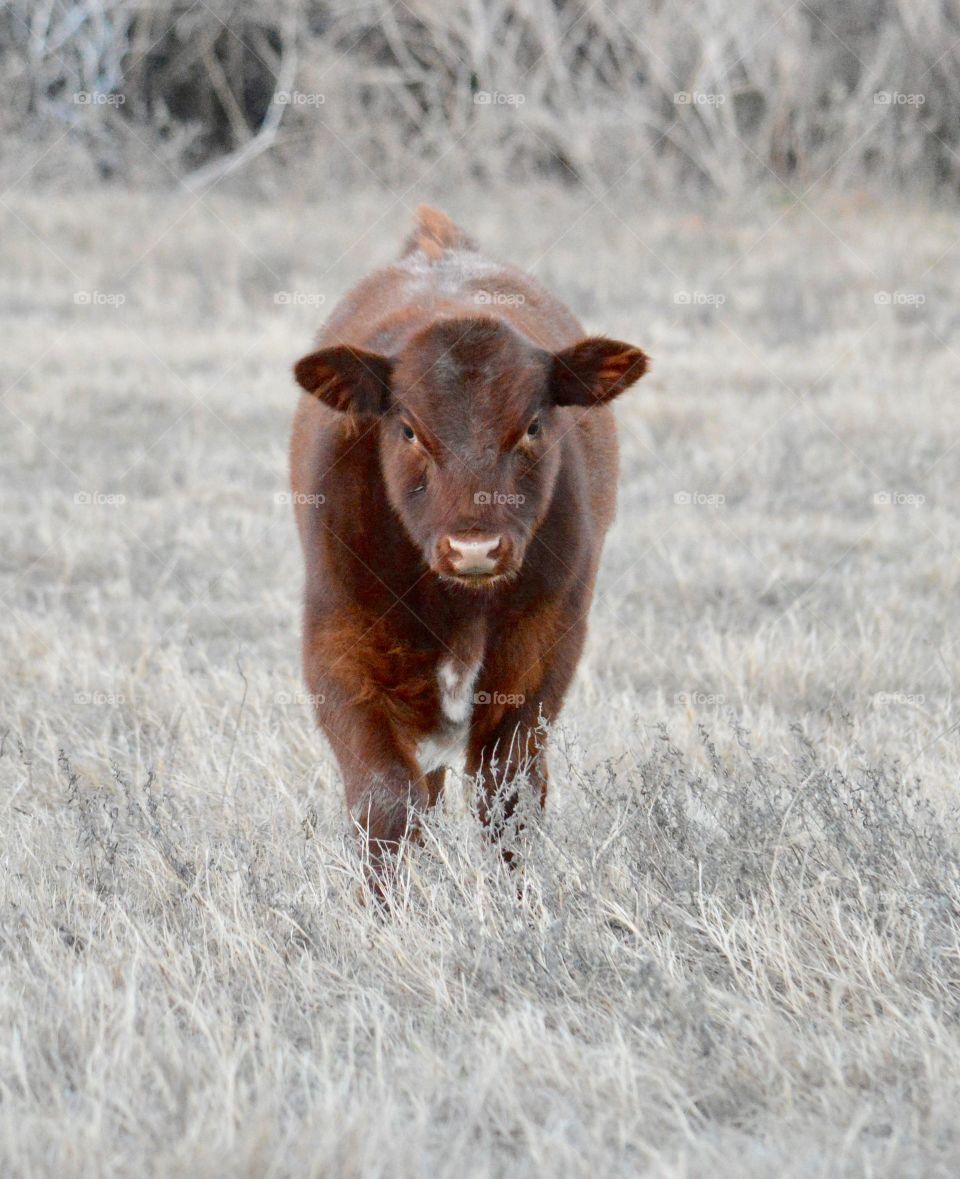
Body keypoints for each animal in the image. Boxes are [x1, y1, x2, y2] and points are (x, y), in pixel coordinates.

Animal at [285, 202, 646, 867]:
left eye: (533, 425)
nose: (474, 548)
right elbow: (385, 799)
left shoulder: (542, 655)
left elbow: (509, 797)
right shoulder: (339, 647)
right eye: (408, 429)